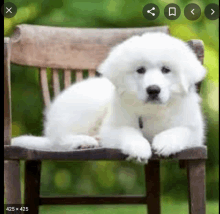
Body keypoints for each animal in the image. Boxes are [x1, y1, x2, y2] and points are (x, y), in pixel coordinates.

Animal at [12, 33, 205, 164]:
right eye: (140, 70)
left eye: (166, 70)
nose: (153, 90)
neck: (152, 109)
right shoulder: (113, 127)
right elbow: (129, 133)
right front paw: (140, 148)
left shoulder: (195, 130)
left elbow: (180, 130)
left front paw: (166, 142)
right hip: (86, 106)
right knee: (58, 139)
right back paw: (84, 141)